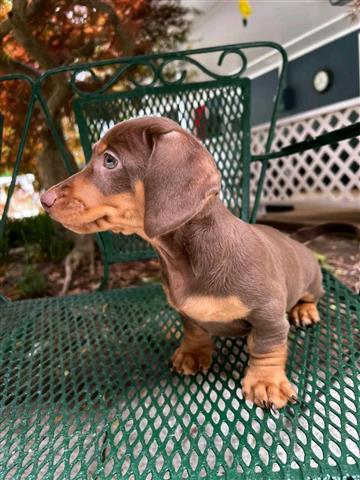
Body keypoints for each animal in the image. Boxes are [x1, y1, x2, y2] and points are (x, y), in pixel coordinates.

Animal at [40, 117, 322, 408]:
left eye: (109, 160)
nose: (44, 200)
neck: (184, 260)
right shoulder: (186, 311)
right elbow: (194, 330)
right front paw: (192, 354)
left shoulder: (267, 314)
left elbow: (267, 346)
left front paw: (266, 382)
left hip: (311, 282)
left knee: (310, 297)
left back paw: (304, 311)